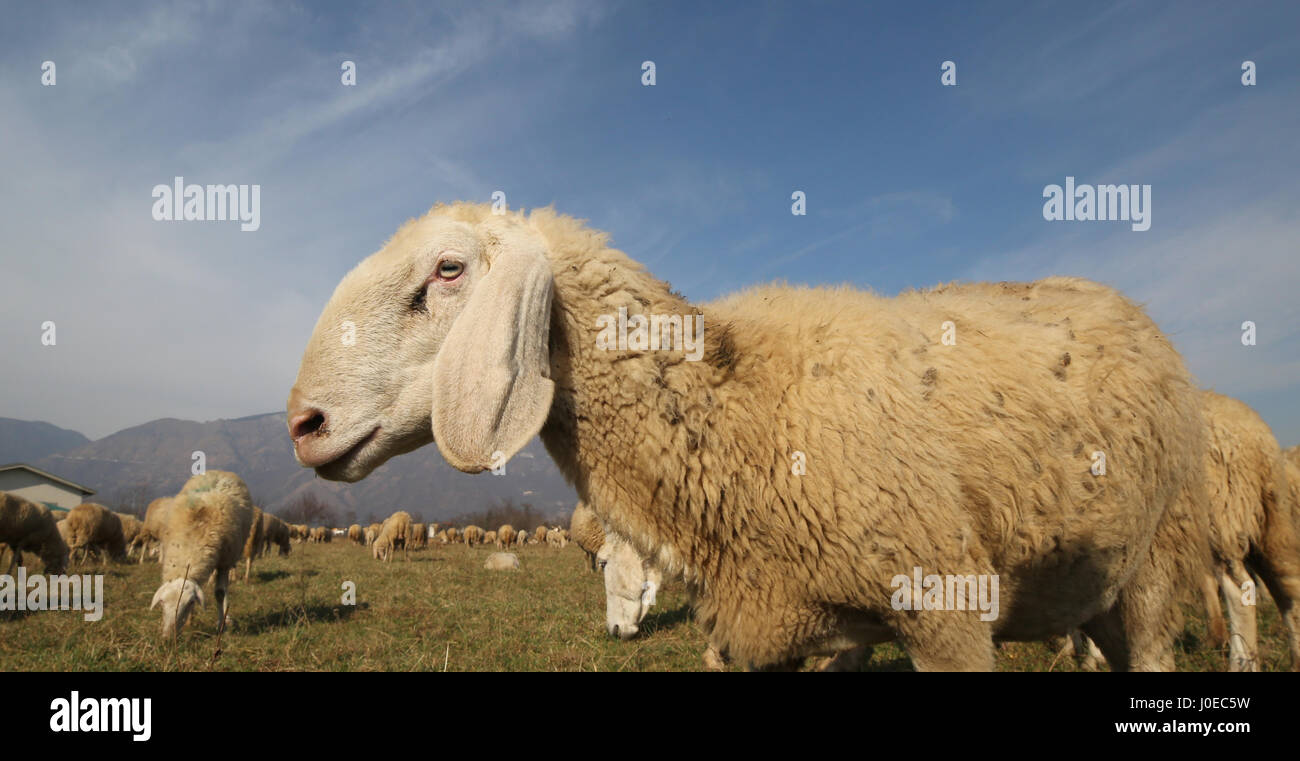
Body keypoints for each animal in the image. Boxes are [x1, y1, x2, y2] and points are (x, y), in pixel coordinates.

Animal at [151, 470, 255, 640]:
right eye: (161, 603)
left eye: (189, 604)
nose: (168, 638)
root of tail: (220, 471)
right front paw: (190, 622)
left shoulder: (224, 562)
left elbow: (220, 593)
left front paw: (221, 626)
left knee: (224, 590)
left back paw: (226, 618)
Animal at [287, 203, 1210, 671]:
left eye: (448, 270)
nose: (303, 424)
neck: (738, 401)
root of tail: (1125, 303)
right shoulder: (783, 633)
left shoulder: (945, 611)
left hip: (1155, 567)